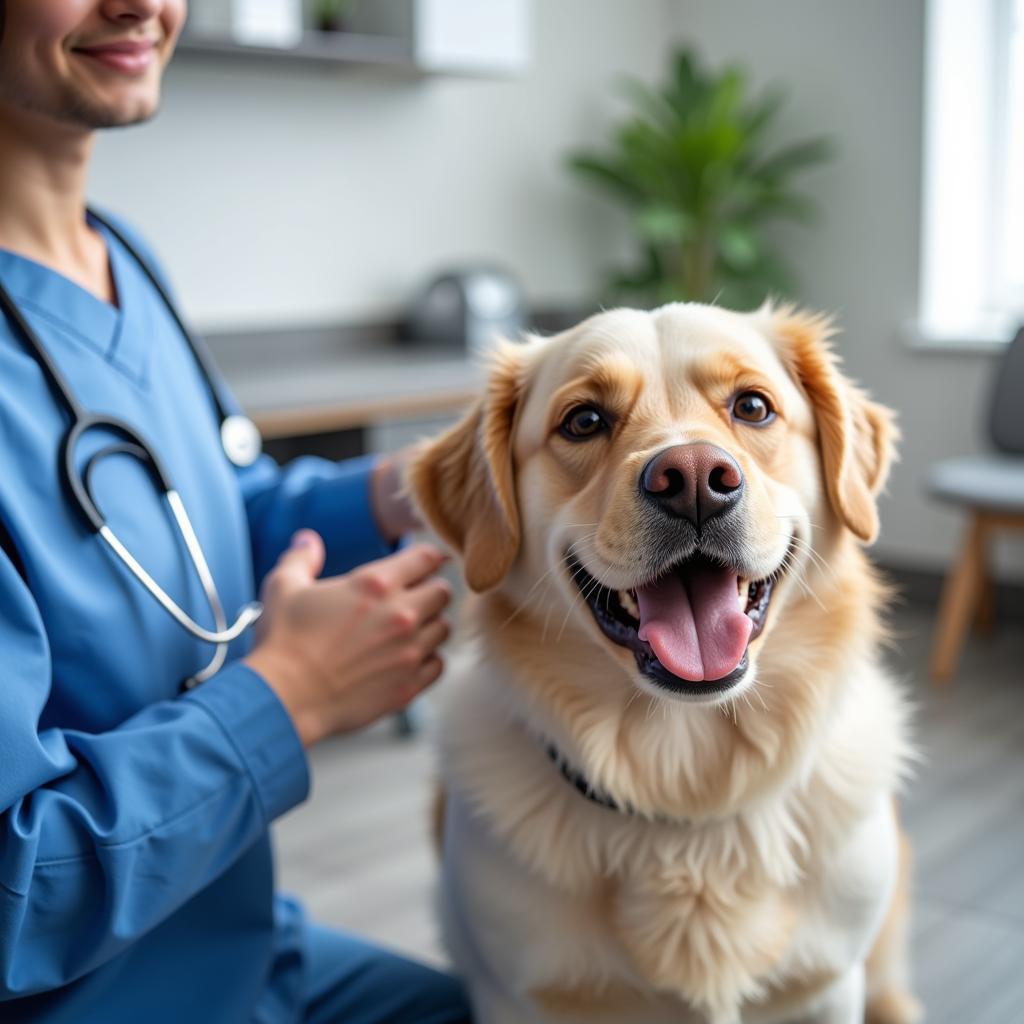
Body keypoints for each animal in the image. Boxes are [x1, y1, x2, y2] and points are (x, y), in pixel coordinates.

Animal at [407, 303, 921, 1024]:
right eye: (584, 420)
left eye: (753, 406)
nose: (695, 479)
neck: (685, 786)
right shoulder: (516, 995)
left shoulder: (827, 987)